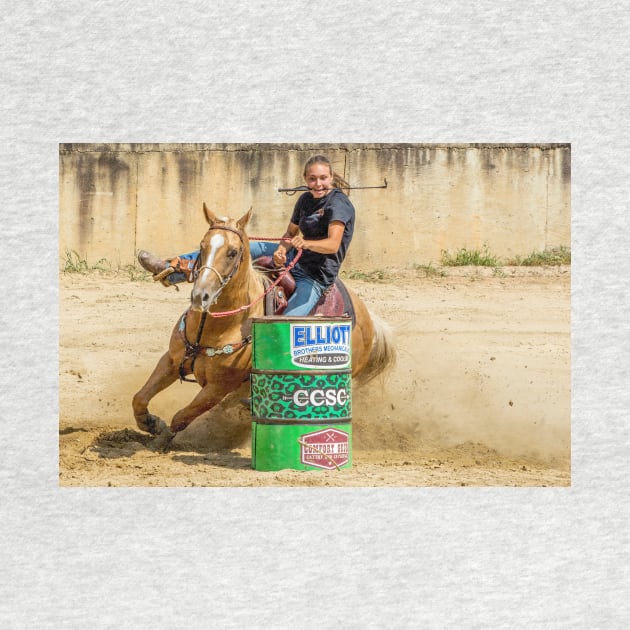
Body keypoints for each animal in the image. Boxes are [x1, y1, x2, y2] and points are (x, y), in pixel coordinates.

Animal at [133, 202, 396, 450]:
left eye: (233, 252)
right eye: (202, 245)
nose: (201, 296)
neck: (217, 327)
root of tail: (368, 319)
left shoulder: (218, 387)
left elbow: (182, 417)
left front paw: (161, 437)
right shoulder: (171, 360)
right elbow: (139, 398)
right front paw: (150, 423)